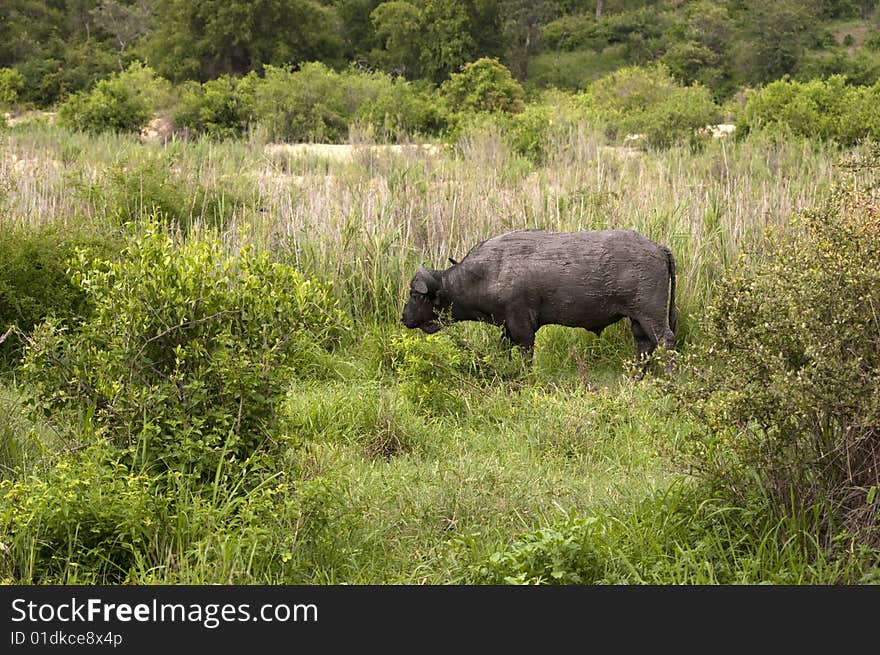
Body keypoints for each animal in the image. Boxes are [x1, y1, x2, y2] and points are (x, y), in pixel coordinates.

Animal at [402, 229, 676, 364]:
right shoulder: (507, 329)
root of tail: (658, 248)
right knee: (644, 347)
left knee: (666, 341)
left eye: (416, 294)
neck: (487, 273)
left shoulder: (523, 330)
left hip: (651, 315)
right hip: (638, 321)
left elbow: (525, 361)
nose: (404, 317)